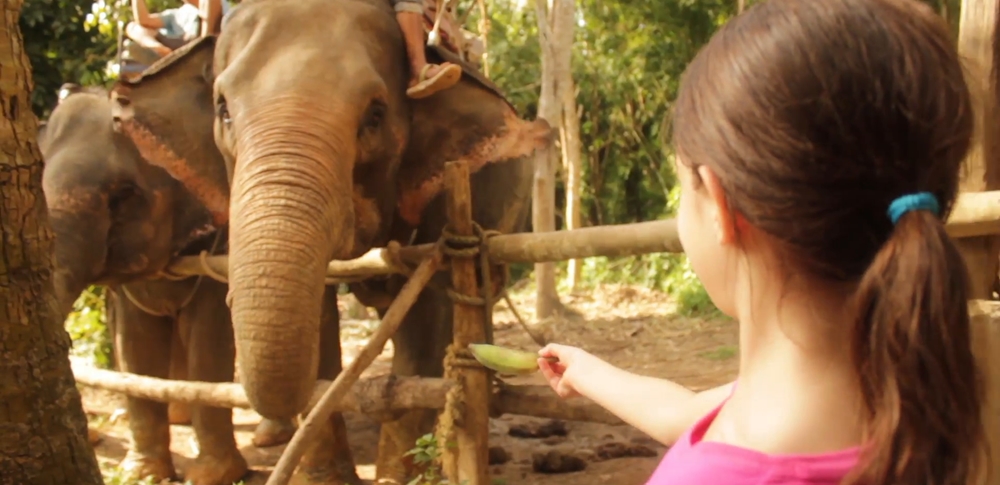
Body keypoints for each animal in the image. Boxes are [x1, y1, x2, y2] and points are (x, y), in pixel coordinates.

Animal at [40, 87, 296, 484]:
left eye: (123, 194)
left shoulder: (220, 243)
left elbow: (208, 343)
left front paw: (211, 475)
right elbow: (136, 348)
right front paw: (142, 474)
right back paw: (180, 416)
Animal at [110, 0, 560, 480]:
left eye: (375, 115)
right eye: (223, 110)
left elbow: (429, 317)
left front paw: (396, 476)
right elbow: (321, 318)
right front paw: (326, 475)